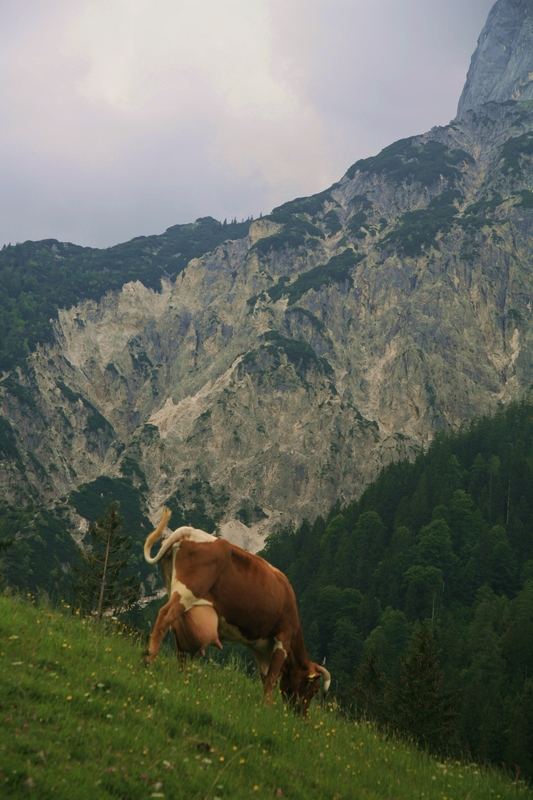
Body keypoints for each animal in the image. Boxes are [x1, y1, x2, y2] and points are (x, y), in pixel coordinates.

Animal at [143, 506, 330, 712]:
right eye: (313, 689)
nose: (301, 714)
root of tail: (189, 531)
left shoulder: (261, 647)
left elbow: (265, 677)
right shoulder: (283, 638)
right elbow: (272, 678)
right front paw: (267, 707)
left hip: (176, 593)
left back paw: (181, 677)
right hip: (186, 593)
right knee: (164, 616)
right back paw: (150, 659)